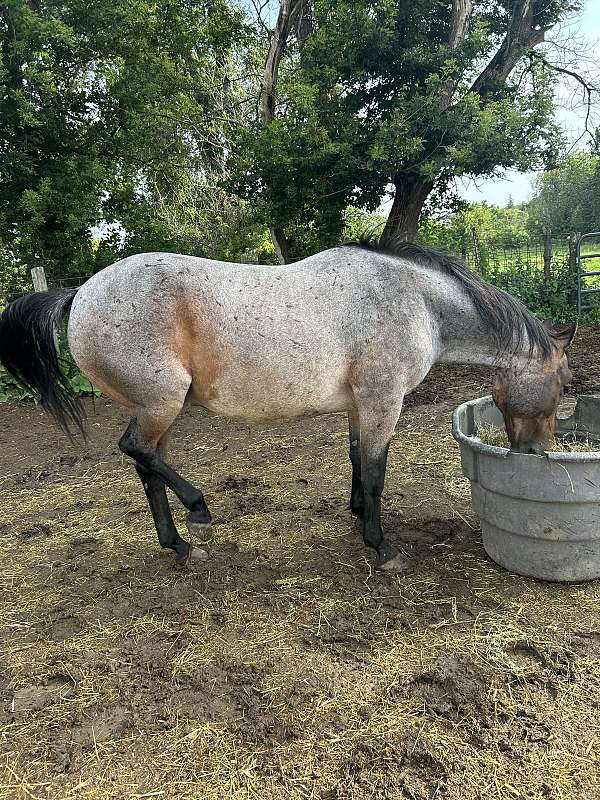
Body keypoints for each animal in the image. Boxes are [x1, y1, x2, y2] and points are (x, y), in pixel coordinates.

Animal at [0, 241, 575, 570]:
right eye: (566, 384)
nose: (534, 452)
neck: (416, 301)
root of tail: (80, 293)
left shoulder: (359, 405)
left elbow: (356, 462)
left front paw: (357, 517)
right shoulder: (384, 401)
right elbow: (376, 472)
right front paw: (382, 547)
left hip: (159, 407)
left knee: (147, 464)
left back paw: (180, 546)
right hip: (162, 402)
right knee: (136, 450)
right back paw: (198, 509)